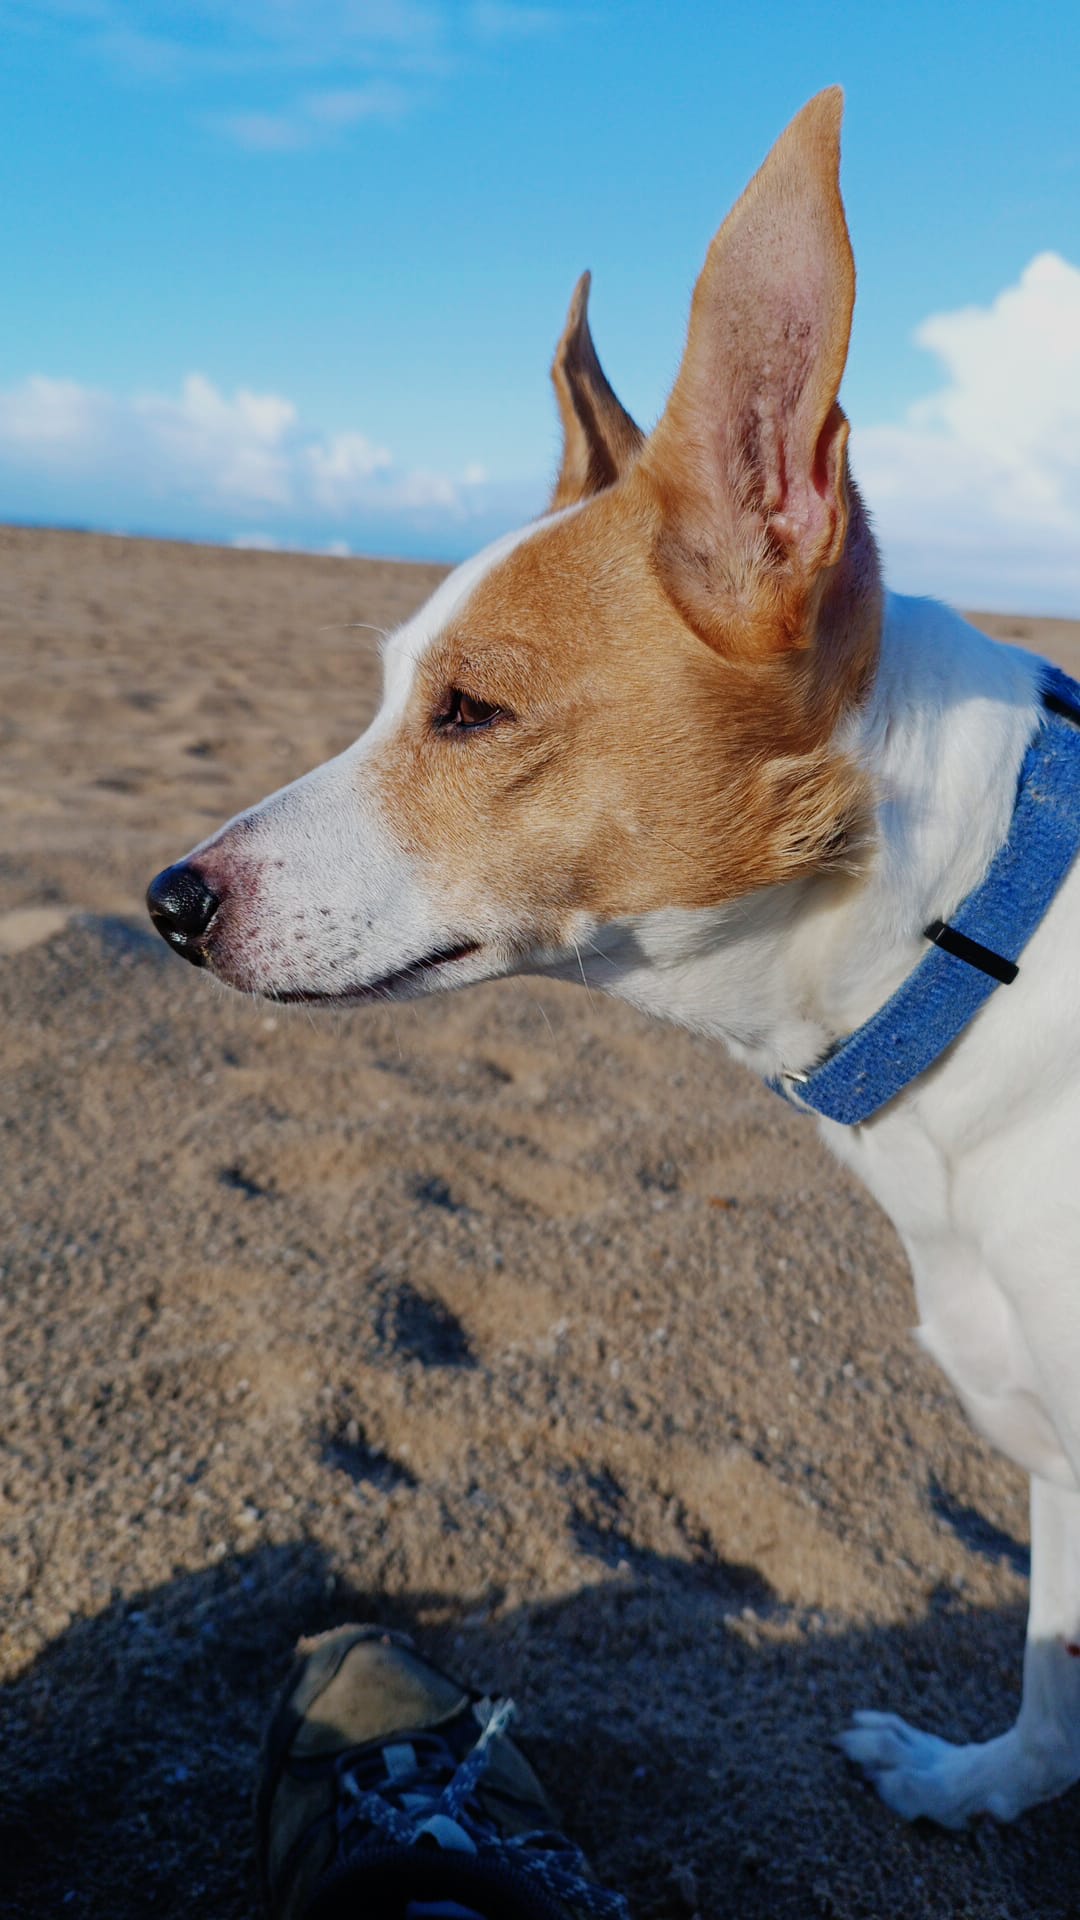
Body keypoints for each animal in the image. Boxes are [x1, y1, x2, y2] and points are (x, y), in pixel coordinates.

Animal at [147, 89, 1080, 1828]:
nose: (169, 900)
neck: (972, 936)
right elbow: (1052, 1680)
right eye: (394, 688)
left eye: (471, 712)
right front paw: (975, 1785)